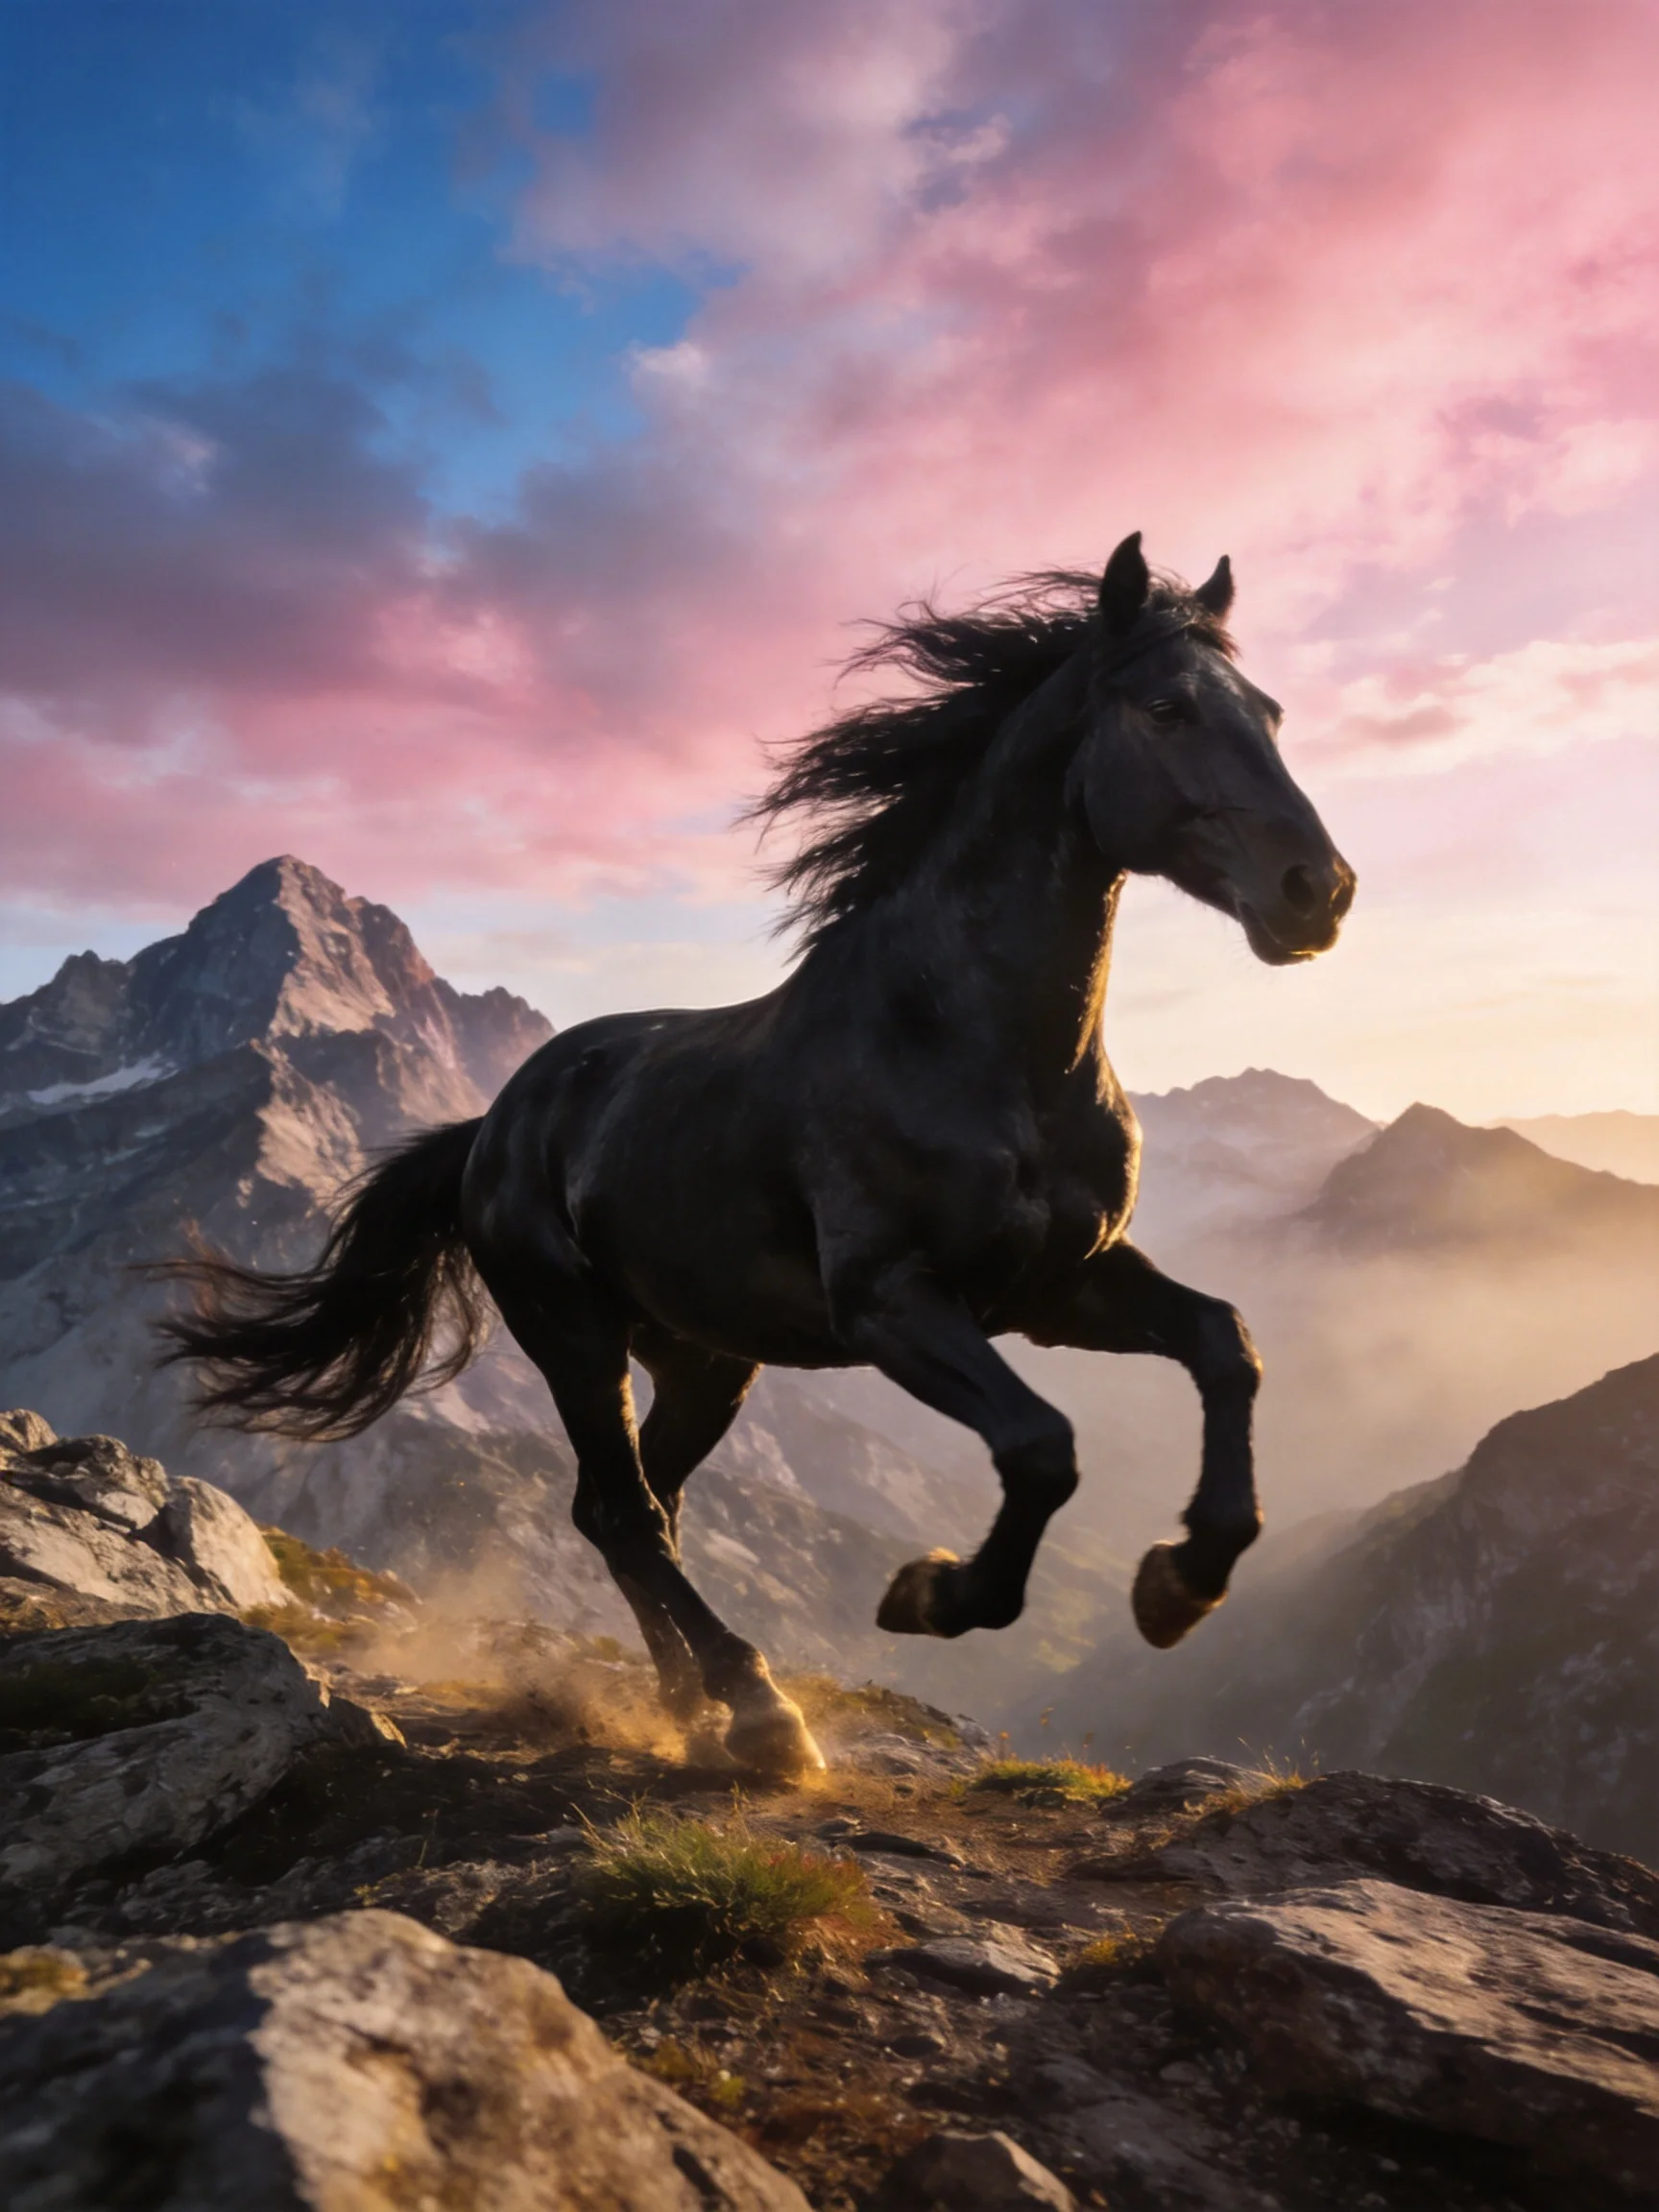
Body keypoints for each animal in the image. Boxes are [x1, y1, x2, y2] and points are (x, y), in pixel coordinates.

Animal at [160, 532, 1355, 1777]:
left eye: (1269, 711)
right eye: (1167, 708)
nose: (1318, 893)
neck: (970, 1047)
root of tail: (492, 1126)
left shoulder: (1058, 1286)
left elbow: (1226, 1344)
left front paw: (1181, 1582)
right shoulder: (891, 1303)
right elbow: (1042, 1445)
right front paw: (935, 1594)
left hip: (705, 1358)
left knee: (631, 1508)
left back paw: (696, 1707)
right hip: (573, 1331)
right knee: (625, 1510)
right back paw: (758, 1708)